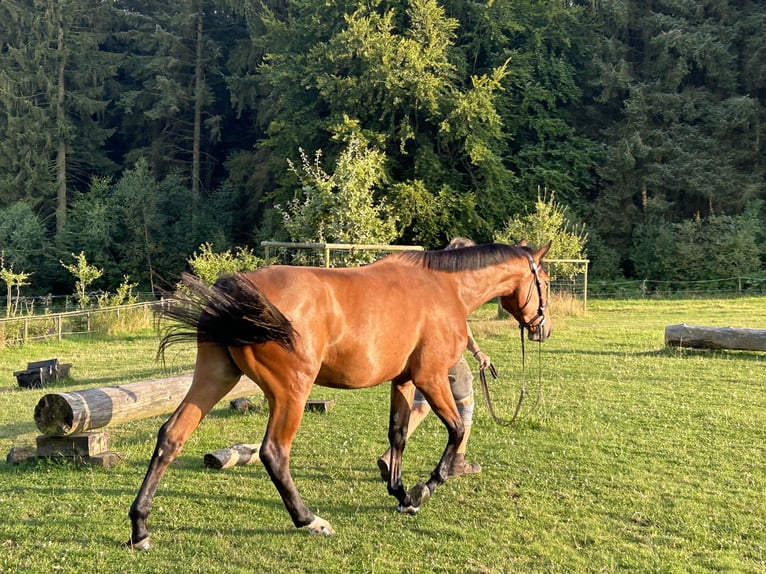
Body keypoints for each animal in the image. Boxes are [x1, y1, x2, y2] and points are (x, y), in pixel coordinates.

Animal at [129, 241, 556, 552]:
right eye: (547, 282)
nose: (543, 329)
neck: (443, 287)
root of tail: (236, 292)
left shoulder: (403, 381)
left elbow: (398, 435)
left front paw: (400, 492)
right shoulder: (431, 378)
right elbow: (455, 430)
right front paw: (425, 488)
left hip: (215, 378)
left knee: (171, 437)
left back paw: (140, 529)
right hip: (291, 392)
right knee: (274, 452)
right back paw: (309, 520)